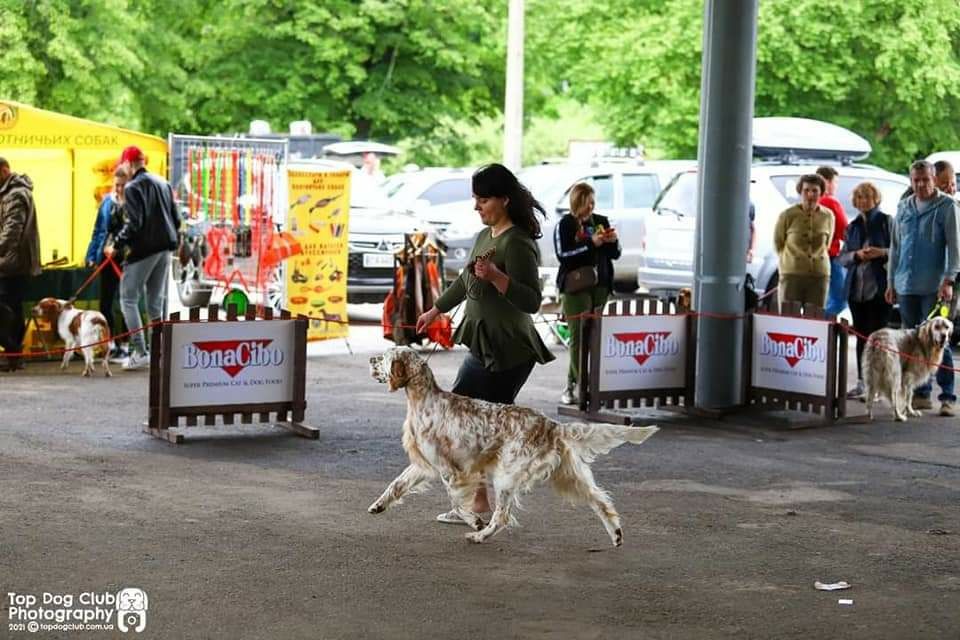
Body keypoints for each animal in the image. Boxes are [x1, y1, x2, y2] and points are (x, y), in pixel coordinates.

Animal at [368, 348, 660, 548]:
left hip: (506, 477)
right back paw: (616, 535)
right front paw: (378, 505)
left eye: (384, 357)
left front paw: (473, 520)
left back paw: (479, 535)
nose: (370, 359)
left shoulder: (451, 470)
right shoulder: (424, 464)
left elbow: (458, 503)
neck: (424, 399)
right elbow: (396, 484)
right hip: (569, 475)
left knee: (501, 517)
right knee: (601, 500)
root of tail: (551, 424)